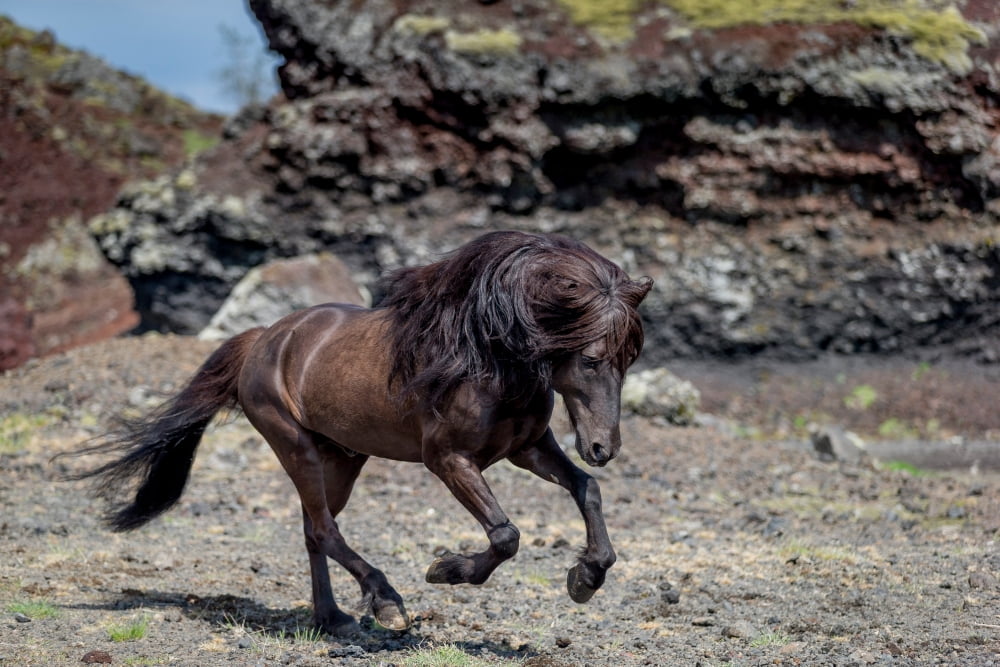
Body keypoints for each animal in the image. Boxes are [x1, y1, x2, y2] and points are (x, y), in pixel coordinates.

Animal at [69, 230, 653, 635]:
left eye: (630, 358)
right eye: (592, 359)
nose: (603, 447)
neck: (487, 357)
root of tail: (266, 338)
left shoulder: (528, 449)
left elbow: (586, 489)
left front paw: (586, 577)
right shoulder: (449, 460)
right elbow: (505, 535)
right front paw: (445, 570)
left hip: (343, 459)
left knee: (313, 530)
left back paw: (332, 618)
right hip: (295, 447)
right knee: (325, 530)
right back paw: (387, 603)